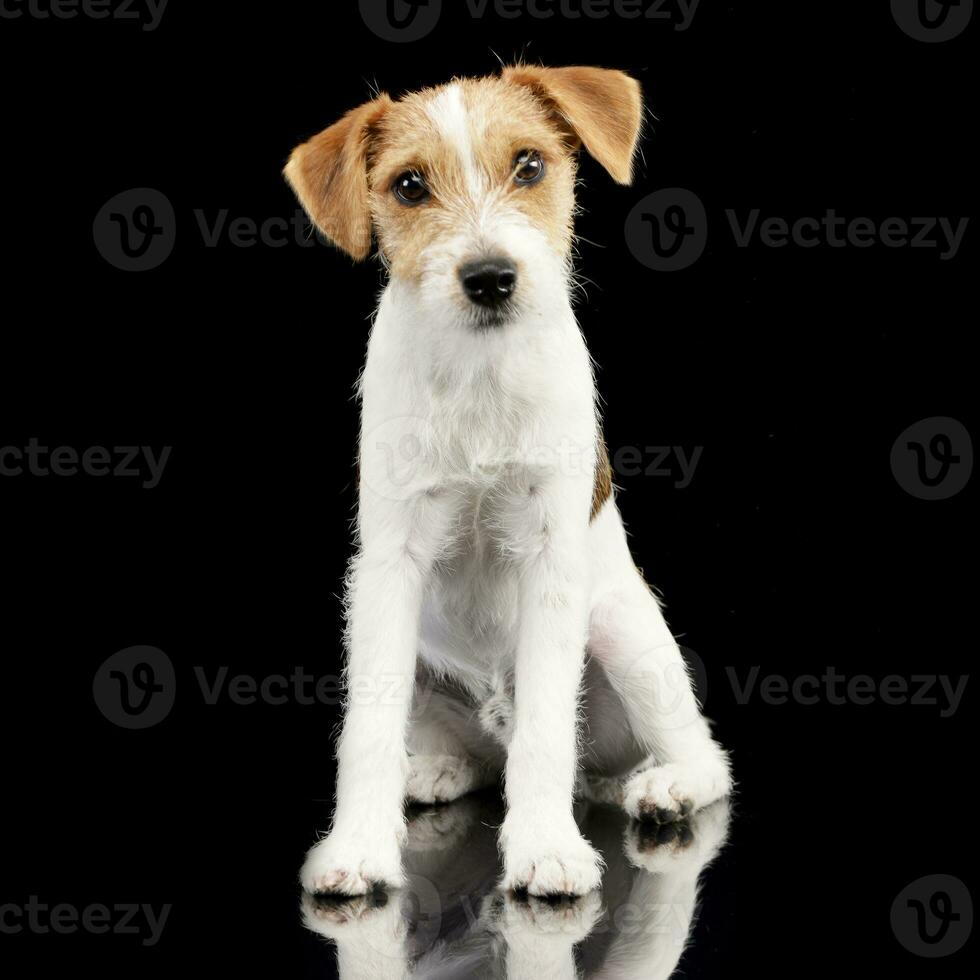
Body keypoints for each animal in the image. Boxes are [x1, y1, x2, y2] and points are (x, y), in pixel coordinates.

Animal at [284, 65, 728, 900]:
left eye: (528, 165)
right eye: (410, 186)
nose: (489, 278)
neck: (479, 374)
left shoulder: (551, 559)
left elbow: (548, 728)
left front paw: (546, 847)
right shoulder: (389, 568)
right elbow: (367, 728)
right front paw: (358, 848)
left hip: (625, 635)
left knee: (699, 755)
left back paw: (667, 785)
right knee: (475, 756)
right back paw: (437, 770)